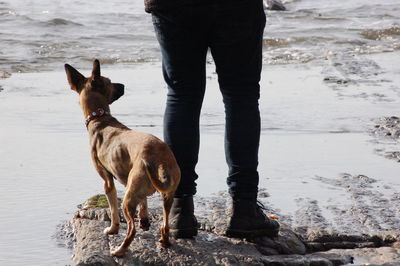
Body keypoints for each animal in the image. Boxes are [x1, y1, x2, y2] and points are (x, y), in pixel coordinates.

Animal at [65, 59, 180, 256]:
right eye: (111, 82)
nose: (123, 85)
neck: (100, 118)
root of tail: (160, 159)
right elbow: (144, 202)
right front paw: (144, 218)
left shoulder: (107, 181)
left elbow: (112, 210)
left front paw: (112, 229)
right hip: (166, 196)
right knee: (164, 225)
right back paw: (164, 241)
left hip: (127, 199)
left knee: (131, 230)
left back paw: (119, 250)